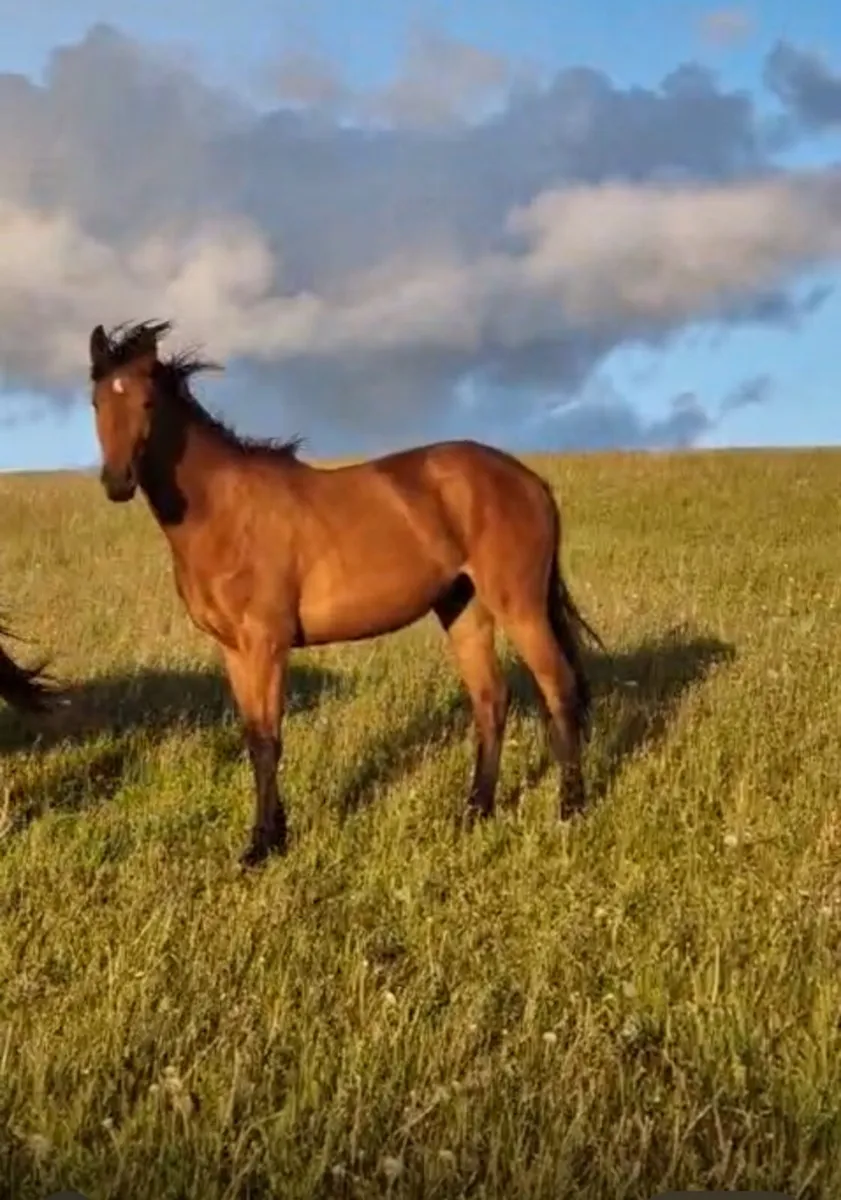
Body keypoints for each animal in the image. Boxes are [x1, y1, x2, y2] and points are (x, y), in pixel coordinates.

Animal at [87, 318, 604, 868]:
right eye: (97, 401)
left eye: (147, 402)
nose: (117, 482)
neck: (223, 511)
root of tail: (530, 481)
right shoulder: (234, 650)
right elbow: (254, 738)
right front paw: (274, 834)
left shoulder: (266, 644)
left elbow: (269, 742)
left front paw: (262, 845)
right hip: (464, 609)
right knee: (491, 700)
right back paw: (475, 811)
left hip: (520, 607)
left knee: (559, 689)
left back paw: (570, 809)